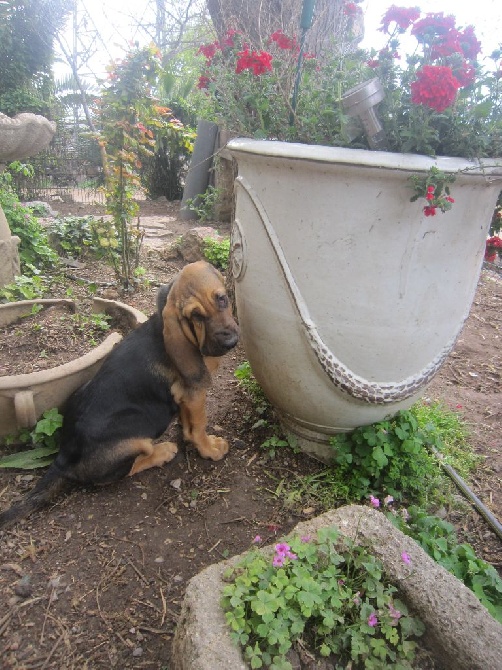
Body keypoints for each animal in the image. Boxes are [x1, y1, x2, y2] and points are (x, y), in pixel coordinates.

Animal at [0, 262, 239, 532]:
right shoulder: (195, 393)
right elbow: (198, 427)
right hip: (134, 437)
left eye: (222, 299)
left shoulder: (186, 397)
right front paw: (209, 449)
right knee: (122, 471)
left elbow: (188, 423)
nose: (230, 341)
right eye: (196, 316)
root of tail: (62, 458)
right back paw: (164, 451)